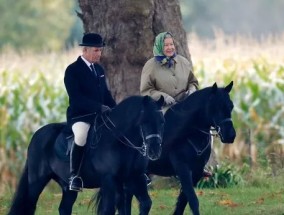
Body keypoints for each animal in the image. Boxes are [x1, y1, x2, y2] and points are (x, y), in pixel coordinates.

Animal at [7, 95, 164, 215]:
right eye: (144, 121)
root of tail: (37, 135)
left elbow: (144, 204)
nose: (154, 151)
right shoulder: (109, 180)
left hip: (67, 186)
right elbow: (109, 210)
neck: (120, 142)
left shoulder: (135, 178)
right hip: (36, 181)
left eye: (162, 121)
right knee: (29, 204)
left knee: (64, 208)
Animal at [118, 81, 236, 215]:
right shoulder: (182, 168)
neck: (188, 133)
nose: (230, 135)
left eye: (231, 106)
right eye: (215, 107)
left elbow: (183, 200)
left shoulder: (196, 171)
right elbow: (193, 200)